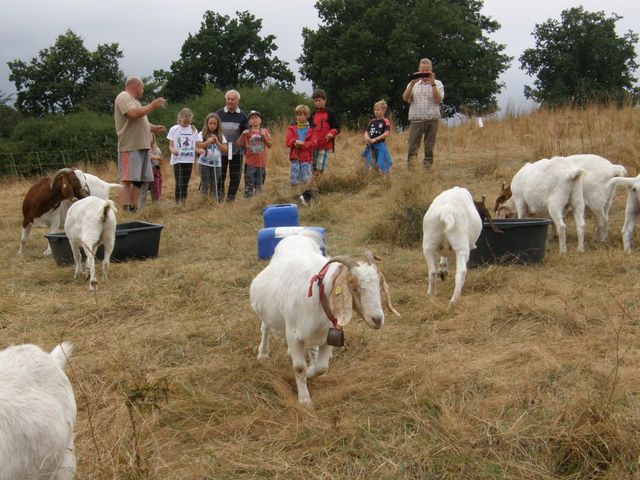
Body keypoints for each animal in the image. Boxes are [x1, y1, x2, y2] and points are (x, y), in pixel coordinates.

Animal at [250, 232, 400, 404]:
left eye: (378, 286)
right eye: (354, 288)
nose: (377, 319)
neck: (319, 296)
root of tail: (297, 235)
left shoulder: (328, 334)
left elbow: (321, 367)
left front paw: (311, 371)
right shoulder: (293, 334)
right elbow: (299, 368)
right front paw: (304, 400)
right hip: (266, 311)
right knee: (265, 328)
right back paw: (263, 354)